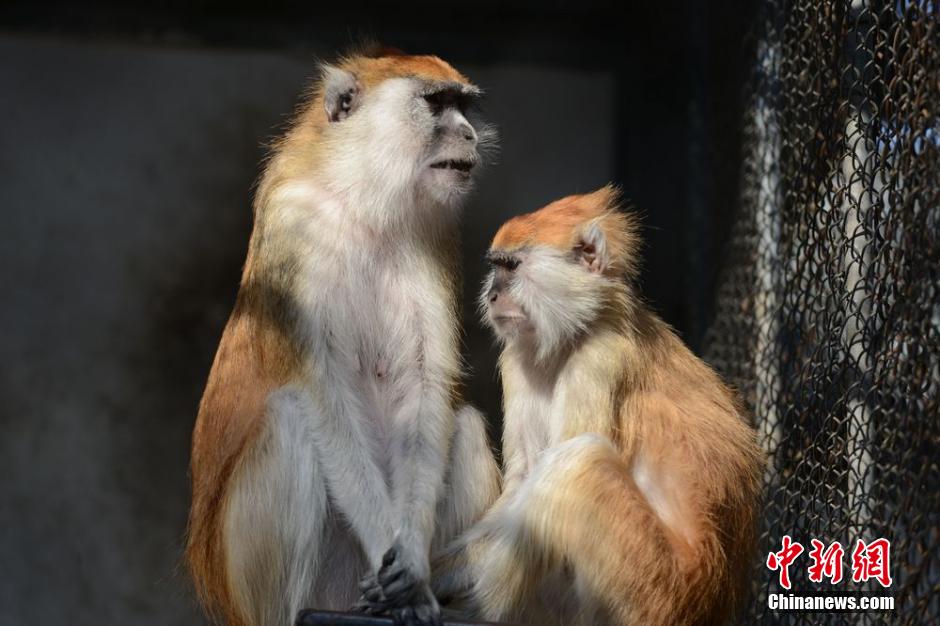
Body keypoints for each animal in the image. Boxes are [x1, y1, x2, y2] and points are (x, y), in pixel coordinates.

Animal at [186, 48, 504, 624]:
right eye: (436, 103)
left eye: (465, 107)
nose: (469, 134)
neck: (363, 203)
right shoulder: (294, 226)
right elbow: (324, 399)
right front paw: (393, 560)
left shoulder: (433, 234)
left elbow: (425, 388)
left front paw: (412, 569)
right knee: (290, 419)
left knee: (464, 425)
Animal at [438, 186, 764, 624]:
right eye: (497, 267)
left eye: (512, 267)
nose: (492, 295)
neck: (578, 327)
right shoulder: (519, 358)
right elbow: (524, 480)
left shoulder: (598, 357)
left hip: (651, 589)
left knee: (578, 464)